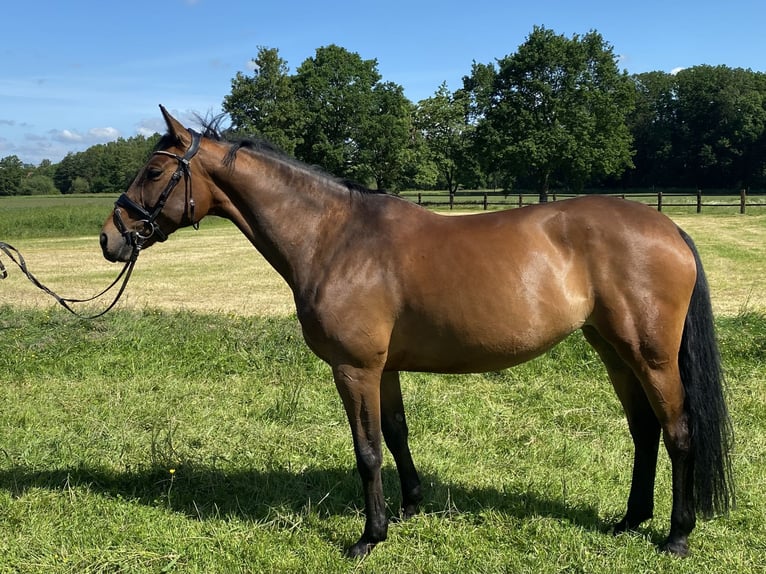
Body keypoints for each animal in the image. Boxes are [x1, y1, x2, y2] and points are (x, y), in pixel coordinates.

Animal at [99, 106, 734, 558]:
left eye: (154, 171)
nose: (110, 238)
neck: (335, 239)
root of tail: (668, 227)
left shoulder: (354, 368)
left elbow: (367, 450)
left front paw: (368, 536)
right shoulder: (384, 369)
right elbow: (397, 436)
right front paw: (408, 509)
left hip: (651, 356)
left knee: (677, 431)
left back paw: (676, 535)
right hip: (613, 351)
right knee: (644, 430)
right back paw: (629, 520)